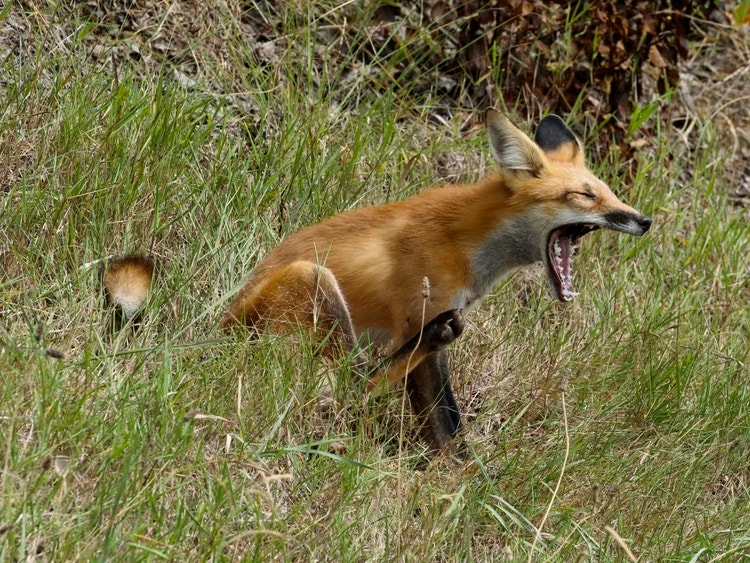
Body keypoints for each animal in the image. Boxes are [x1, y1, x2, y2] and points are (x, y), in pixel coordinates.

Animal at [105, 109, 652, 453]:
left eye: (609, 192)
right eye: (584, 196)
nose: (643, 220)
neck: (469, 245)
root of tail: (212, 336)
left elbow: (447, 429)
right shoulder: (419, 311)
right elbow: (441, 417)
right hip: (315, 285)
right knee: (345, 393)